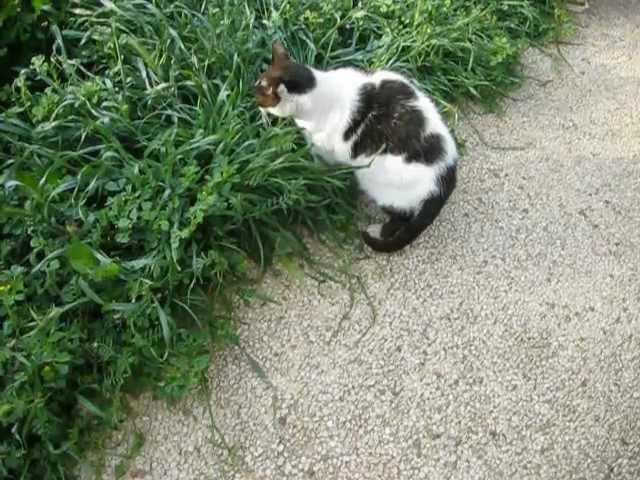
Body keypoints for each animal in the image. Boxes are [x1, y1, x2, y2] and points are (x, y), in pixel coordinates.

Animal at [252, 41, 458, 253]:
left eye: (259, 97)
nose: (253, 103)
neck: (319, 92)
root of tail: (446, 173)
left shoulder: (322, 149)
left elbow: (319, 164)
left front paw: (313, 173)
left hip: (374, 180)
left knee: (403, 216)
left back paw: (379, 230)